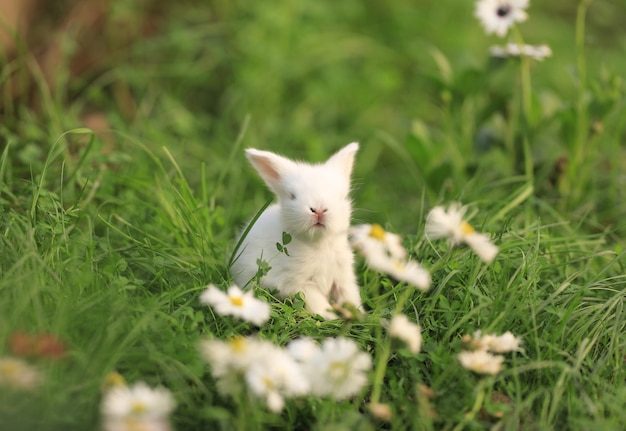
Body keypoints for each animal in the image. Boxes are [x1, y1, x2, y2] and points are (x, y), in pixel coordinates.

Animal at [232, 143, 360, 318]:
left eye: (342, 196)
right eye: (292, 196)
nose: (318, 210)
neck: (319, 244)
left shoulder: (343, 277)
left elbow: (349, 296)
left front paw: (359, 314)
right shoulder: (297, 282)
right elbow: (317, 301)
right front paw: (330, 317)